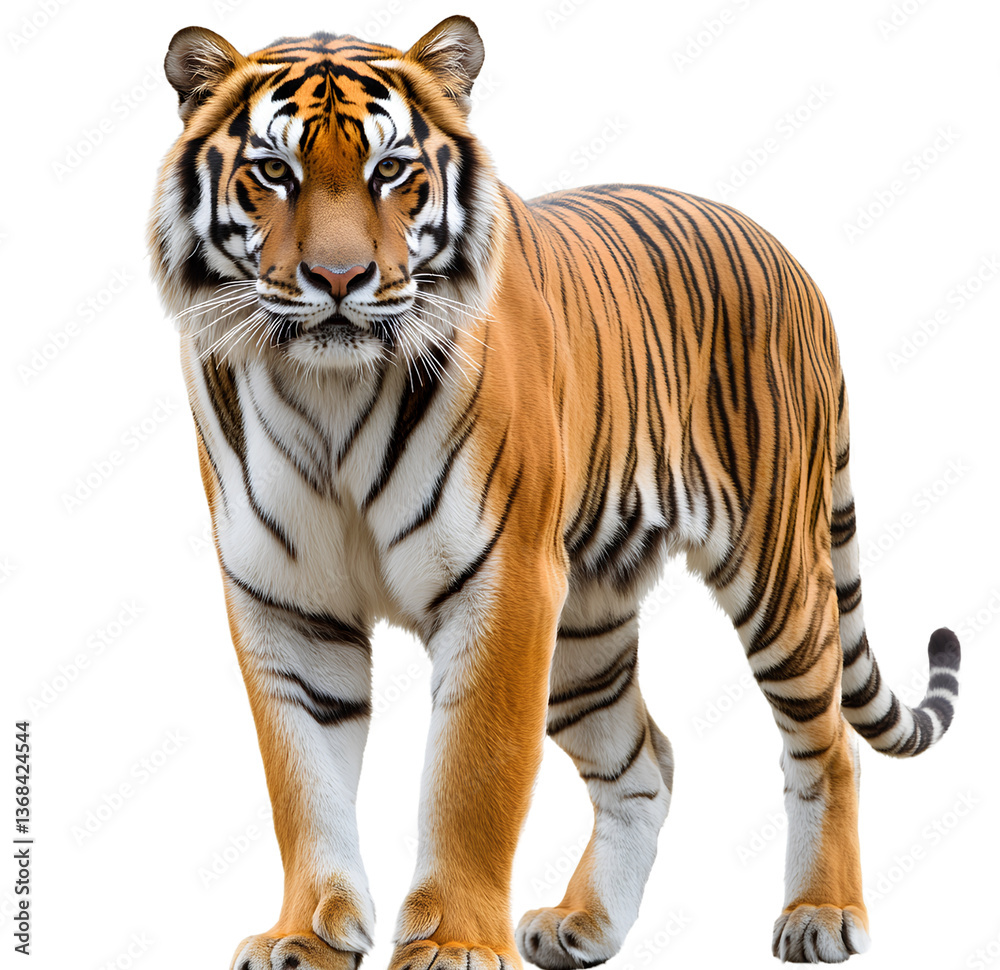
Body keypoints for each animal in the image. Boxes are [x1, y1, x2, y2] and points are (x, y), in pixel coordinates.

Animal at [148, 15, 961, 969]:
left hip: (775, 574)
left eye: (392, 170)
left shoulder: (505, 584)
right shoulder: (287, 603)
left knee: (828, 744)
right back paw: (586, 924)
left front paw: (456, 943)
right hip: (588, 624)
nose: (340, 280)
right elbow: (301, 784)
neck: (329, 393)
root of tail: (791, 259)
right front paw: (306, 935)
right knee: (645, 763)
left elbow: (474, 776)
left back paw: (822, 913)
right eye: (275, 171)